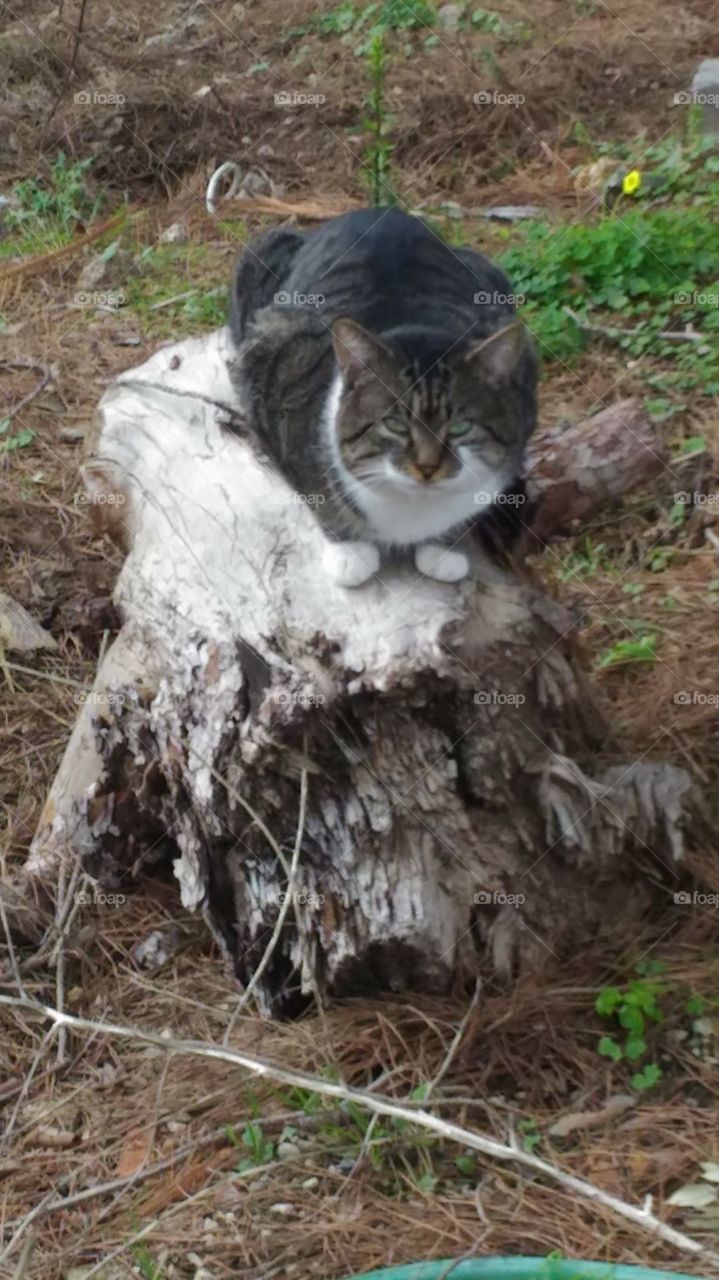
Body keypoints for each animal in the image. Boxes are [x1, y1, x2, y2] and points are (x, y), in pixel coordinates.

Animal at [226, 207, 534, 586]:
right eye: (395, 424)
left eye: (461, 427)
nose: (427, 468)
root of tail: (381, 209)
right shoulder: (273, 367)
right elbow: (312, 489)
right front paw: (350, 553)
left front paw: (445, 549)